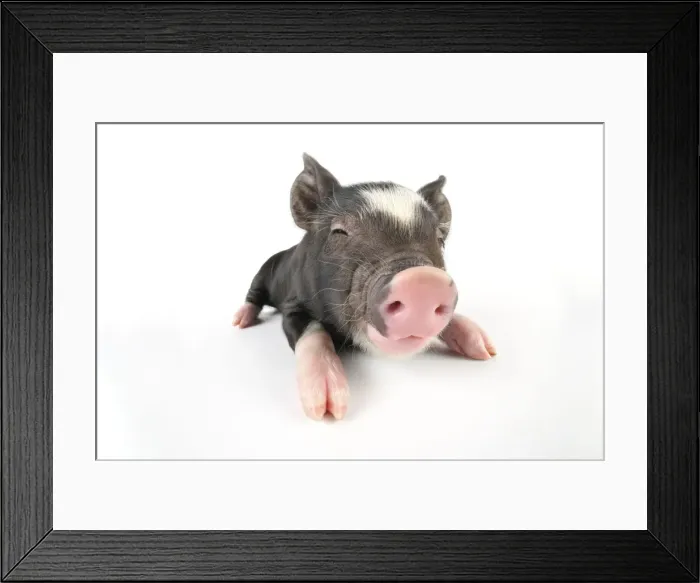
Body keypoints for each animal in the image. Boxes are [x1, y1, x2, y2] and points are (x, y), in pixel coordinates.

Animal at [232, 154, 496, 420]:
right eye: (339, 231)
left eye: (440, 240)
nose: (424, 279)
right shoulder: (293, 304)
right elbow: (312, 331)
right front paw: (326, 409)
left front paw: (487, 350)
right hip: (264, 271)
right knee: (254, 295)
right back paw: (240, 321)